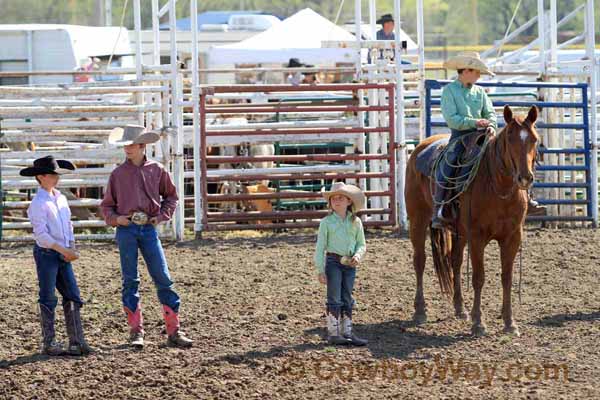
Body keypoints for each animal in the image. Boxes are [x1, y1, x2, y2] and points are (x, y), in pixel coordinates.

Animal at [406, 104, 540, 336]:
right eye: (510, 139)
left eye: (534, 139)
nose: (525, 178)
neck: (498, 186)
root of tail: (420, 147)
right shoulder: (477, 236)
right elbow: (479, 278)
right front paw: (479, 323)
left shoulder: (513, 237)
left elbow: (507, 278)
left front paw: (509, 323)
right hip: (418, 219)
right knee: (419, 261)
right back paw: (421, 310)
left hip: (458, 232)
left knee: (455, 261)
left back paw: (460, 309)